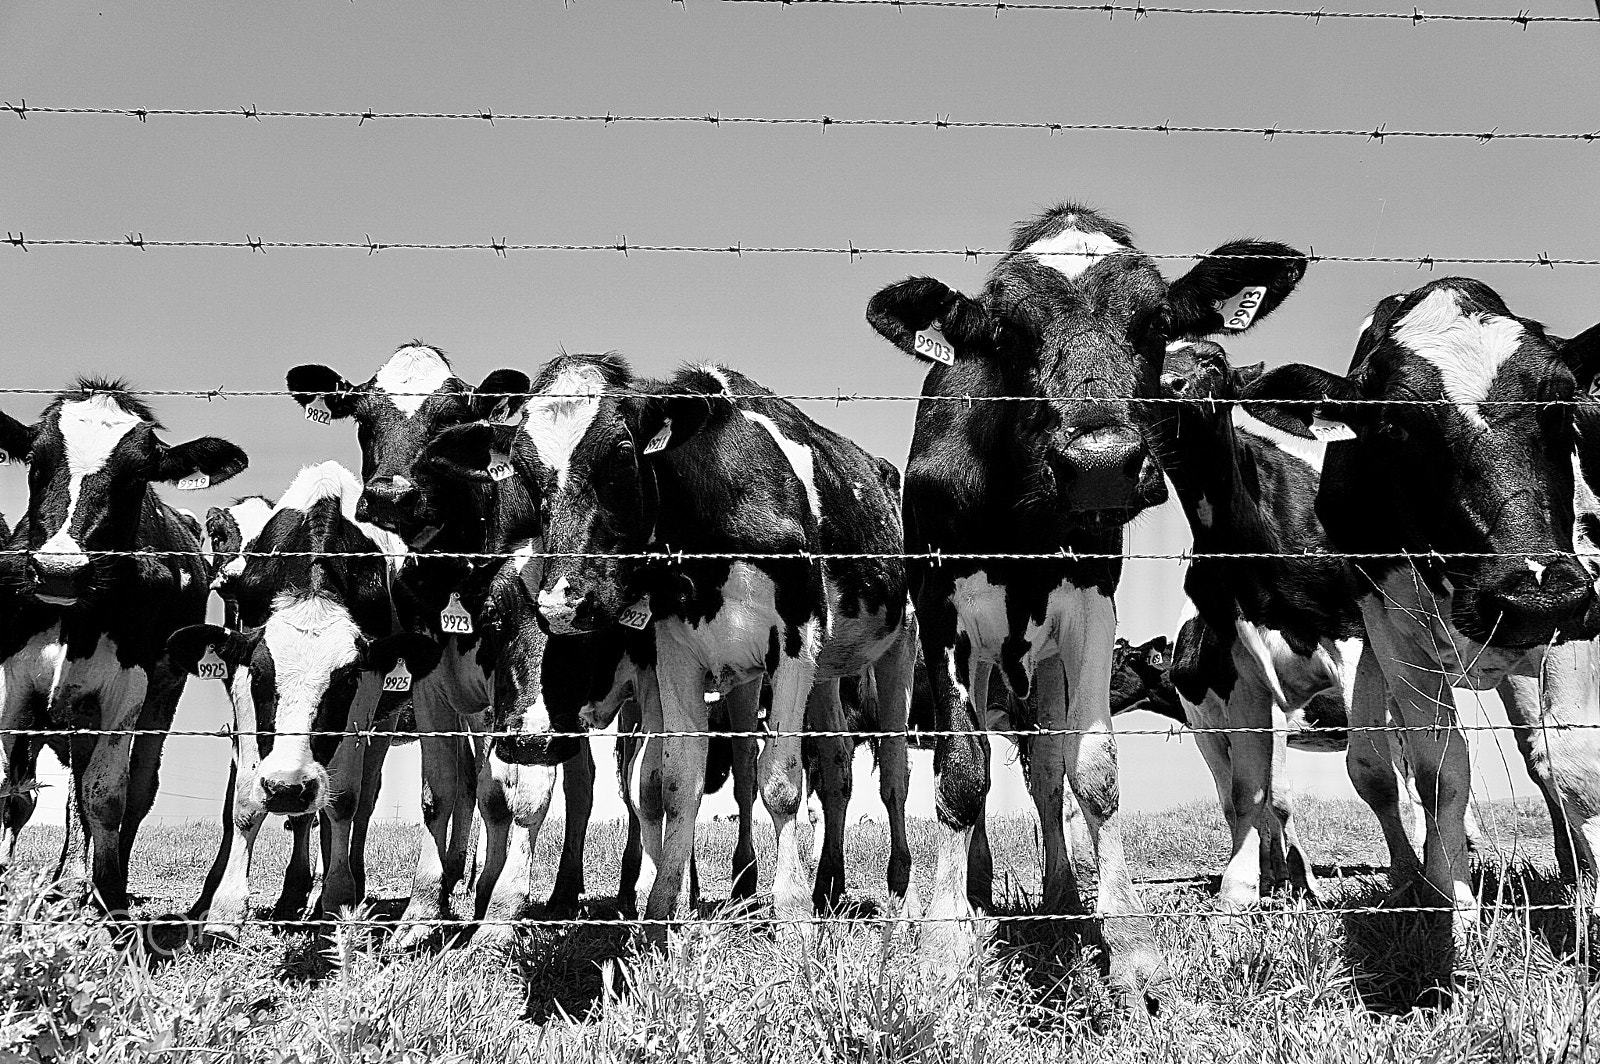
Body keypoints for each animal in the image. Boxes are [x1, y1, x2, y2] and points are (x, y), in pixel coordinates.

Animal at [0, 379, 247, 915]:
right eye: (34, 461)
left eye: (137, 477)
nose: (59, 570)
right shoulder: (12, 681)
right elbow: (12, 791)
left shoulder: (127, 686)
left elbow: (106, 795)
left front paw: (110, 896)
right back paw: (68, 880)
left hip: (160, 694)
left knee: (134, 789)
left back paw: (94, 882)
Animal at [286, 345, 595, 948]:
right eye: (362, 417)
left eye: (449, 422)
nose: (390, 496)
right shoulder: (431, 680)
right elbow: (445, 795)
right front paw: (425, 909)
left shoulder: (522, 681)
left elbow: (517, 795)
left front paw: (497, 911)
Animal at [865, 202, 1308, 1008]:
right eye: (1005, 332)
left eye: (1156, 320)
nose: (1100, 463)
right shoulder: (940, 610)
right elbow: (960, 775)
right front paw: (941, 951)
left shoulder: (1094, 603)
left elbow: (1091, 771)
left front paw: (1130, 949)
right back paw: (963, 901)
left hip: (1040, 670)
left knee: (1045, 774)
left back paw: (1060, 897)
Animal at [1237, 279, 1600, 943]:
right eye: (1393, 427)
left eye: (1563, 402)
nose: (1531, 595)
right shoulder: (1392, 629)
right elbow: (1439, 774)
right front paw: (1456, 916)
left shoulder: (1579, 592)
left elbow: (1575, 758)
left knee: (1542, 759)